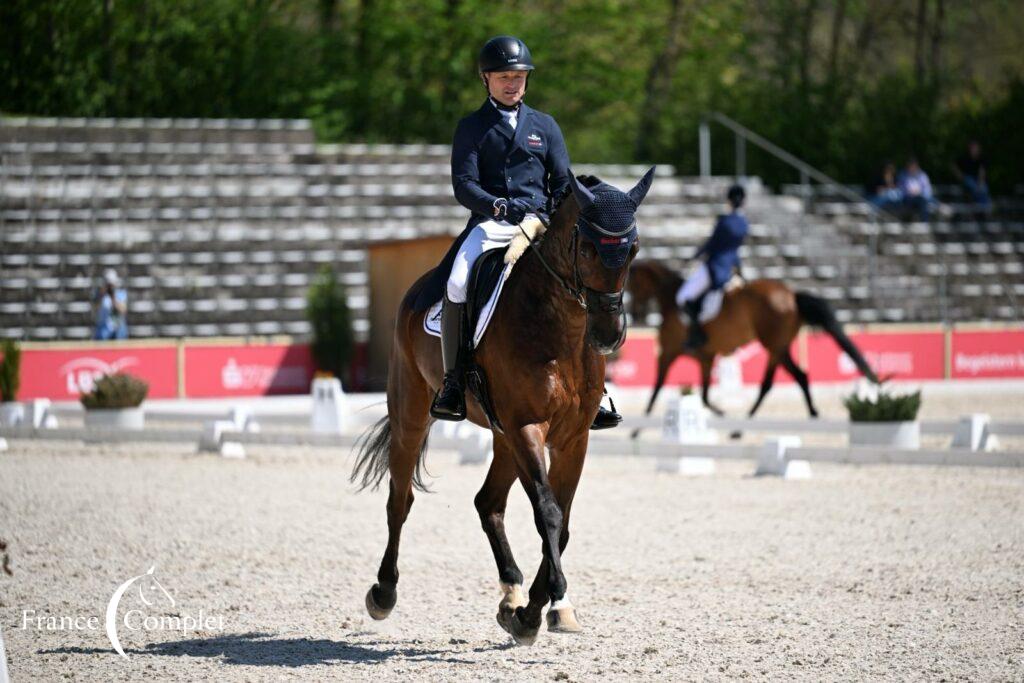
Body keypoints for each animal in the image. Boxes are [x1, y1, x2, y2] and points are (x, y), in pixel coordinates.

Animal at [352, 166, 655, 647]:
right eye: (588, 247)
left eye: (634, 249)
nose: (608, 336)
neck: (562, 330)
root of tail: (416, 290)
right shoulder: (527, 427)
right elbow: (548, 513)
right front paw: (545, 607)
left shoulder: (573, 438)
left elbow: (563, 522)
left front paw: (537, 610)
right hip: (414, 414)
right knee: (400, 500)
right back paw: (383, 592)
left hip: (502, 435)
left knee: (488, 502)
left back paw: (511, 593)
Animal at [626, 260, 876, 421]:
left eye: (634, 284)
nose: (636, 314)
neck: (671, 301)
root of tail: (791, 295)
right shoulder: (705, 358)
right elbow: (703, 396)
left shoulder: (668, 353)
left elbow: (657, 388)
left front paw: (637, 429)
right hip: (780, 347)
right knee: (799, 377)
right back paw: (812, 414)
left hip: (772, 345)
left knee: (771, 383)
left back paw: (747, 420)